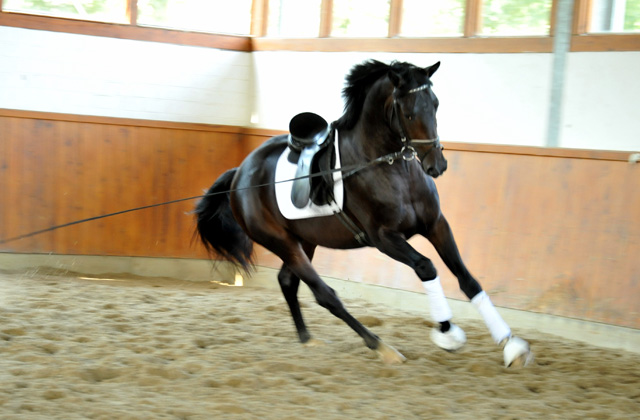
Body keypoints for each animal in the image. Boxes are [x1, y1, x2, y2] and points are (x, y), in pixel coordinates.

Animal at [192, 59, 532, 368]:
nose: (437, 165)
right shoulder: (384, 238)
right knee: (325, 295)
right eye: (408, 111)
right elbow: (427, 267)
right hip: (281, 242)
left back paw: (308, 339)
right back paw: (382, 347)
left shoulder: (436, 225)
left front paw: (511, 344)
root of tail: (240, 172)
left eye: (435, 104)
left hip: (305, 241)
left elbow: (467, 279)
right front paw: (447, 332)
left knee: (288, 281)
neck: (393, 167)